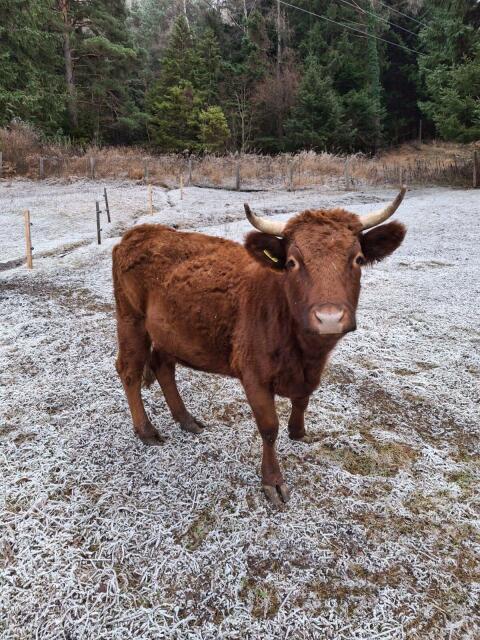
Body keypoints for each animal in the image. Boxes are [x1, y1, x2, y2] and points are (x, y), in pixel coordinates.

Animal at [112, 188, 407, 506]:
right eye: (292, 262)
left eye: (359, 259)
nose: (329, 318)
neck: (305, 354)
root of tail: (139, 232)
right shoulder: (253, 375)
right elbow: (268, 427)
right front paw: (273, 480)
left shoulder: (309, 374)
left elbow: (302, 401)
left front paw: (298, 432)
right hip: (130, 319)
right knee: (129, 370)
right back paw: (146, 430)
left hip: (171, 331)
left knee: (162, 366)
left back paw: (186, 420)